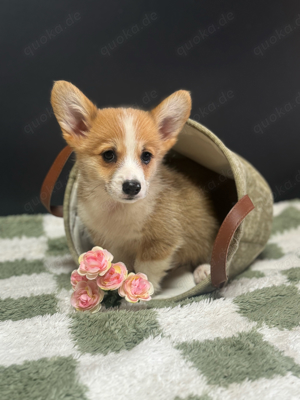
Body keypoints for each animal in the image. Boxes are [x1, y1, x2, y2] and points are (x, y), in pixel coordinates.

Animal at [51, 81, 219, 292]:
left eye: (146, 156)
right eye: (108, 155)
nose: (132, 187)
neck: (117, 210)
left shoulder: (160, 241)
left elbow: (145, 269)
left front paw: (139, 292)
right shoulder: (111, 244)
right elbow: (121, 266)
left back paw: (204, 270)